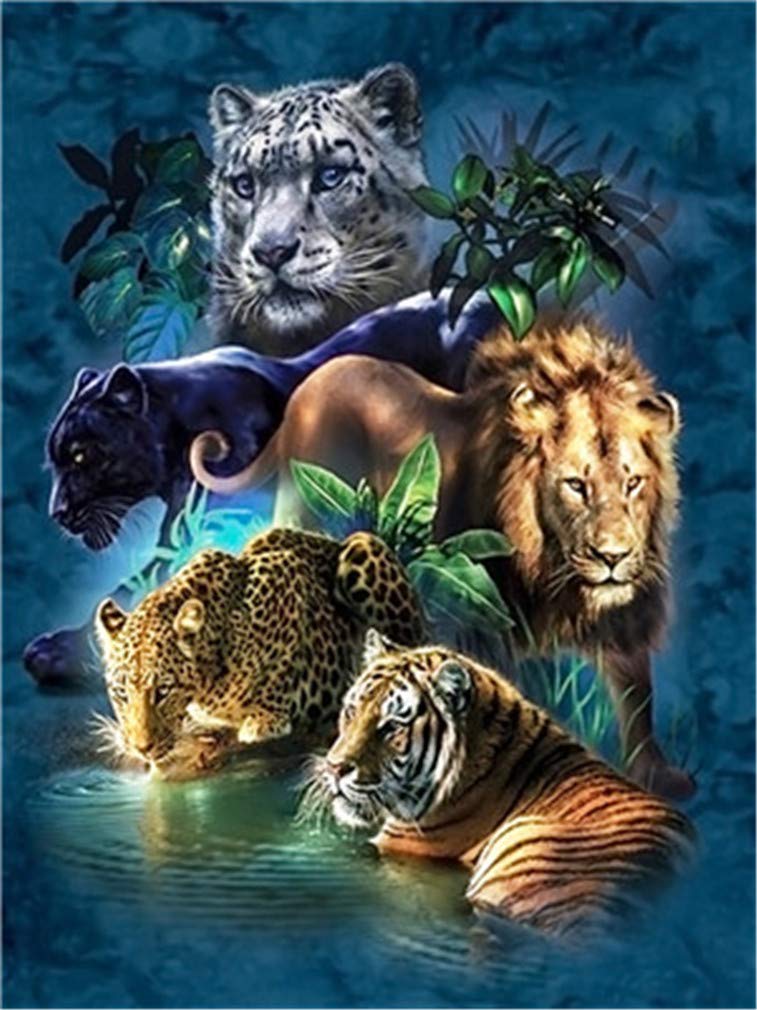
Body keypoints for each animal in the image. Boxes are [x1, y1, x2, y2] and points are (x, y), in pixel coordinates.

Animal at [95, 527, 425, 779]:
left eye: (163, 691)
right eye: (121, 693)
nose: (141, 748)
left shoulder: (286, 579)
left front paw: (264, 718)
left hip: (362, 549)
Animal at [189, 318, 694, 800]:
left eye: (633, 483)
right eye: (575, 484)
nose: (613, 556)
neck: (551, 569)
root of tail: (303, 392)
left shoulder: (621, 620)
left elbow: (637, 694)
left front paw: (656, 776)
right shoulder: (483, 620)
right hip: (309, 502)